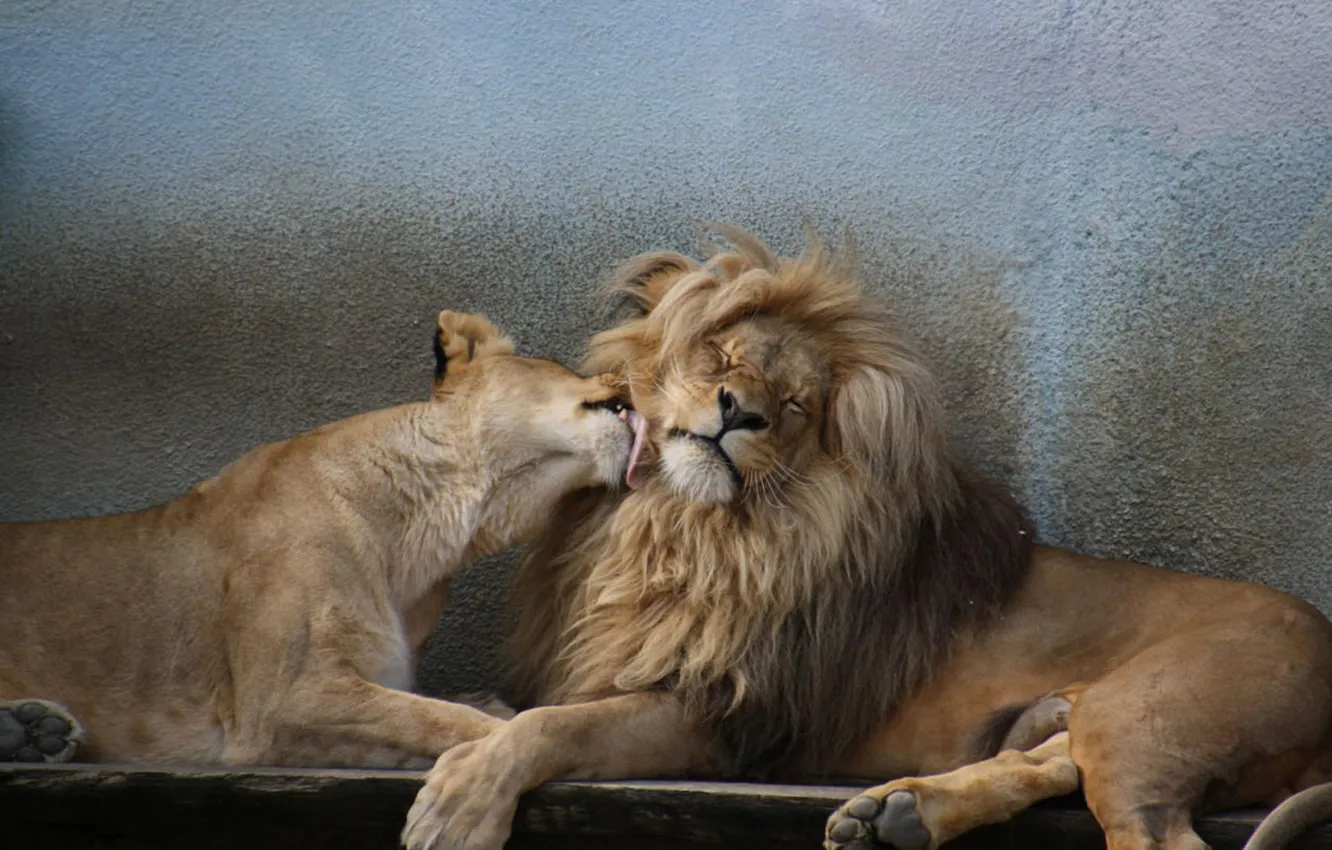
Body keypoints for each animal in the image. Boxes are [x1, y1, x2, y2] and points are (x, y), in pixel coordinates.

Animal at [0, 309, 648, 769]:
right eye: (563, 363)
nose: (632, 376)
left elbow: (426, 714)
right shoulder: (276, 704)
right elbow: (438, 719)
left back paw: (34, 733)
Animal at [400, 227, 1332, 850]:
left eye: (796, 405)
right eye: (723, 357)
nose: (739, 412)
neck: (681, 529)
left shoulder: (726, 721)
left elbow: (550, 725)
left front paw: (461, 803)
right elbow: (510, 711)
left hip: (1147, 716)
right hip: (1113, 719)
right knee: (1054, 758)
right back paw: (899, 814)